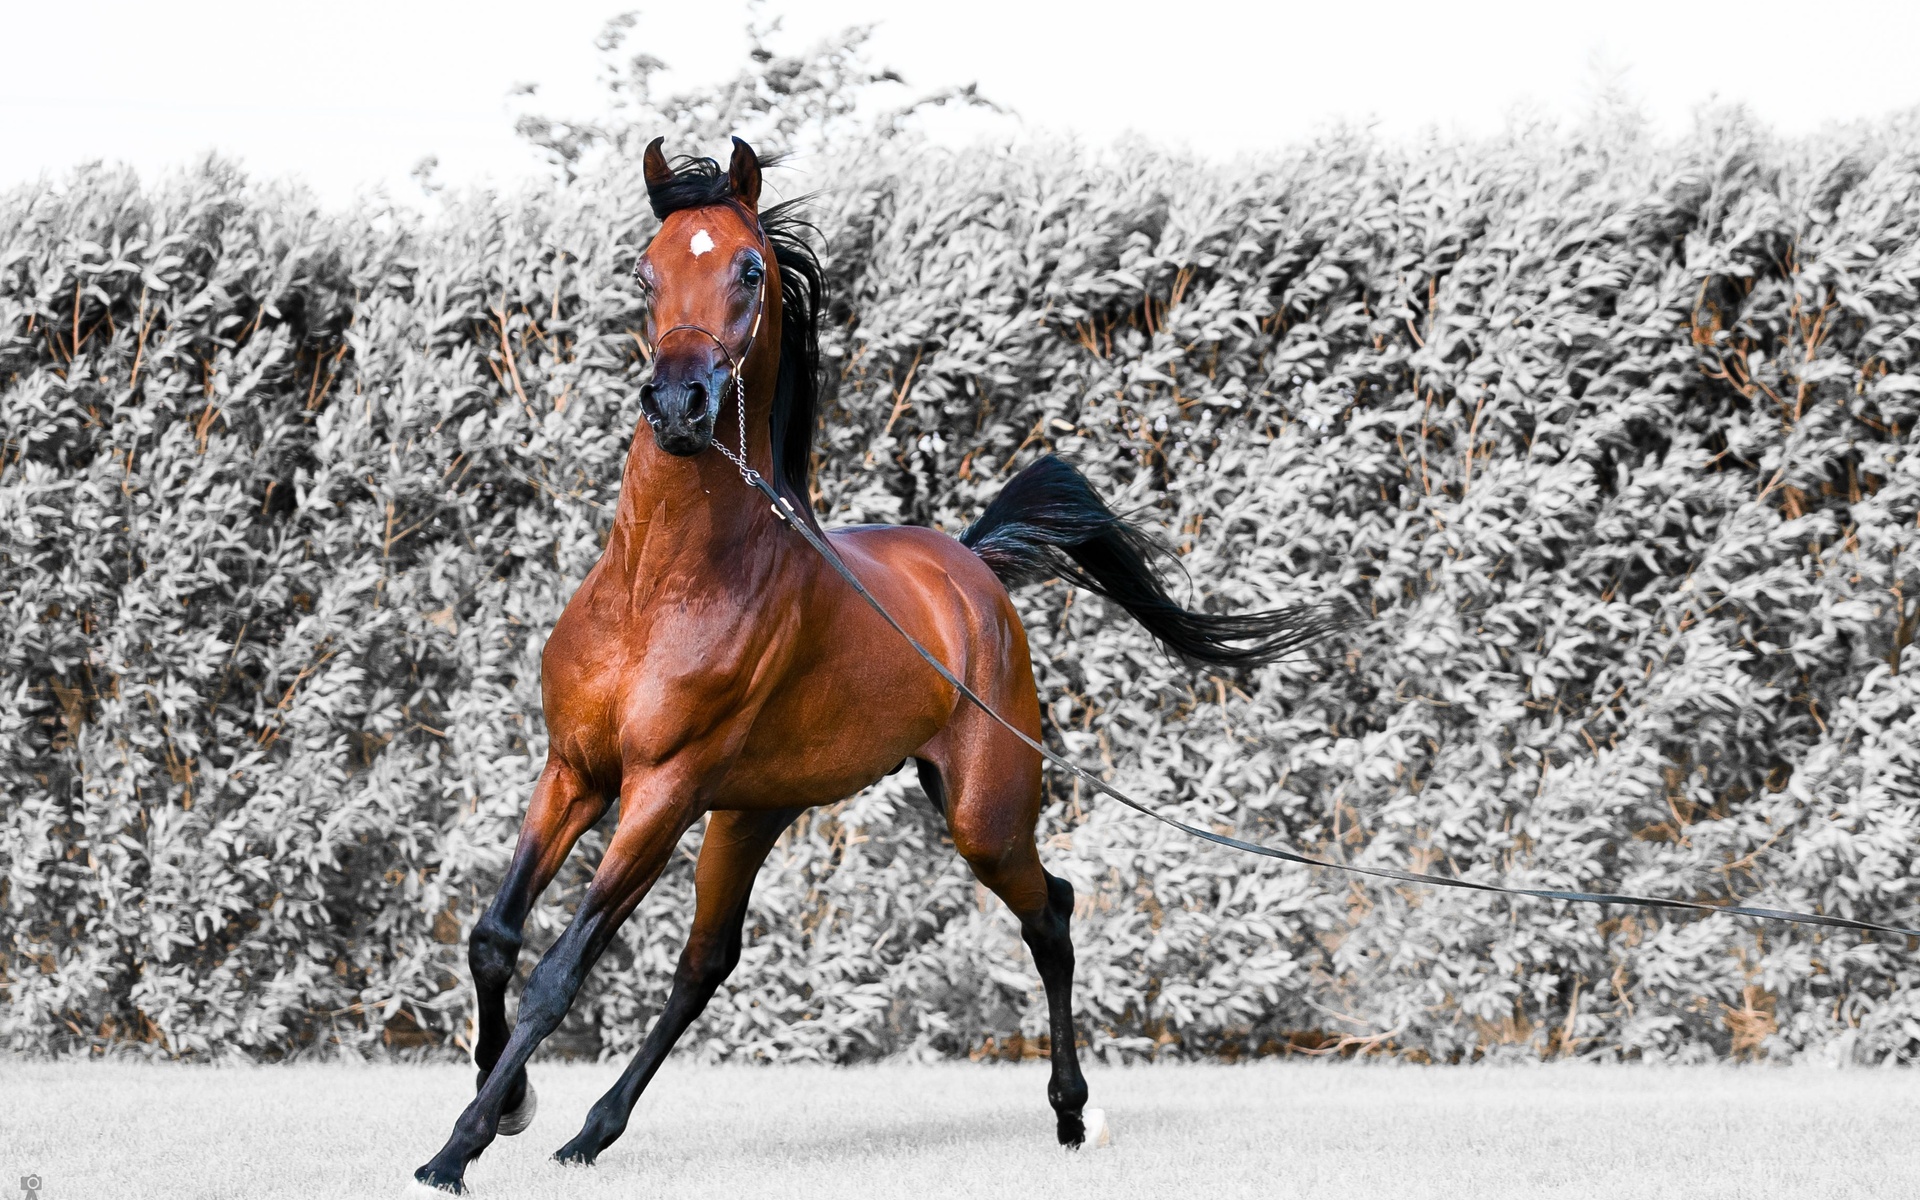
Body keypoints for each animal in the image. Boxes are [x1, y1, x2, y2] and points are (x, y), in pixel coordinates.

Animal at [412, 136, 1332, 1193]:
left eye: (749, 269)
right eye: (644, 271)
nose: (680, 405)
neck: (658, 588)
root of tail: (973, 566)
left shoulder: (658, 790)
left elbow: (559, 973)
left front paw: (458, 1146)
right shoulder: (574, 769)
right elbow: (494, 938)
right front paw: (512, 1104)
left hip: (981, 813)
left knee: (1051, 914)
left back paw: (1071, 1115)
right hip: (751, 813)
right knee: (707, 962)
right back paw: (590, 1133)